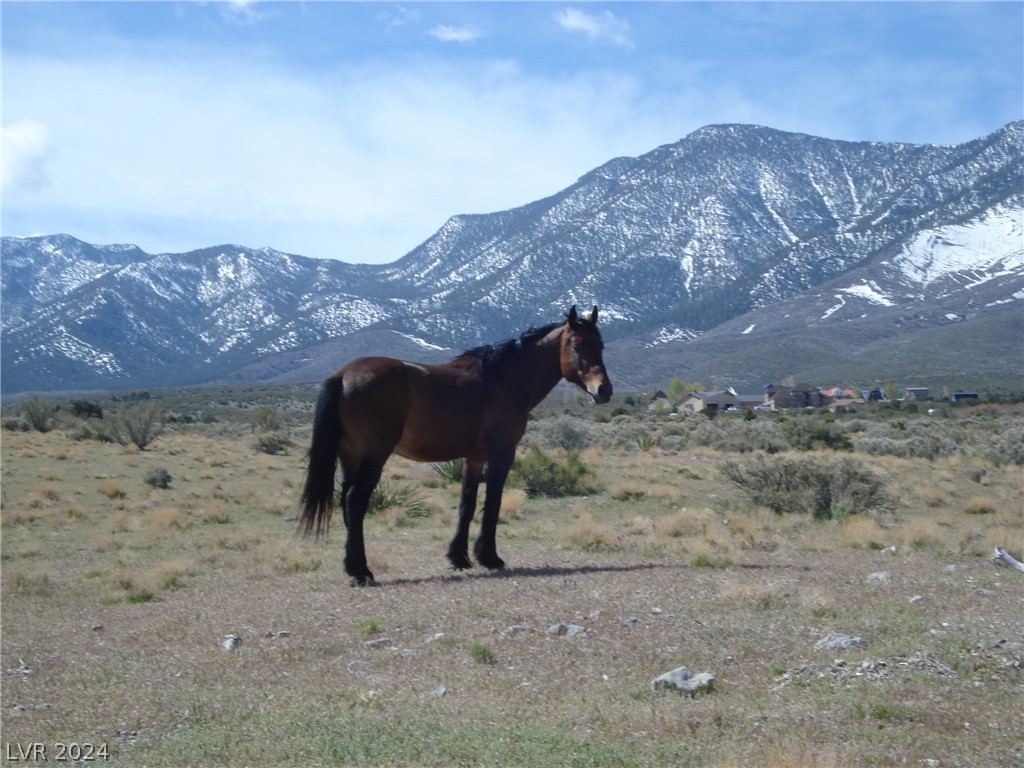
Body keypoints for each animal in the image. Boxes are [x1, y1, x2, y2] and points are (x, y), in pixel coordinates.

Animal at [299, 303, 610, 585]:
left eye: (601, 345)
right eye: (577, 345)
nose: (604, 390)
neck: (503, 379)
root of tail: (343, 375)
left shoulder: (474, 458)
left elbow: (467, 504)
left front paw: (459, 557)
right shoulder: (502, 453)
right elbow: (493, 502)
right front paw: (490, 557)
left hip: (350, 458)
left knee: (345, 502)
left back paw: (353, 567)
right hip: (373, 457)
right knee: (355, 502)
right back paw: (361, 572)